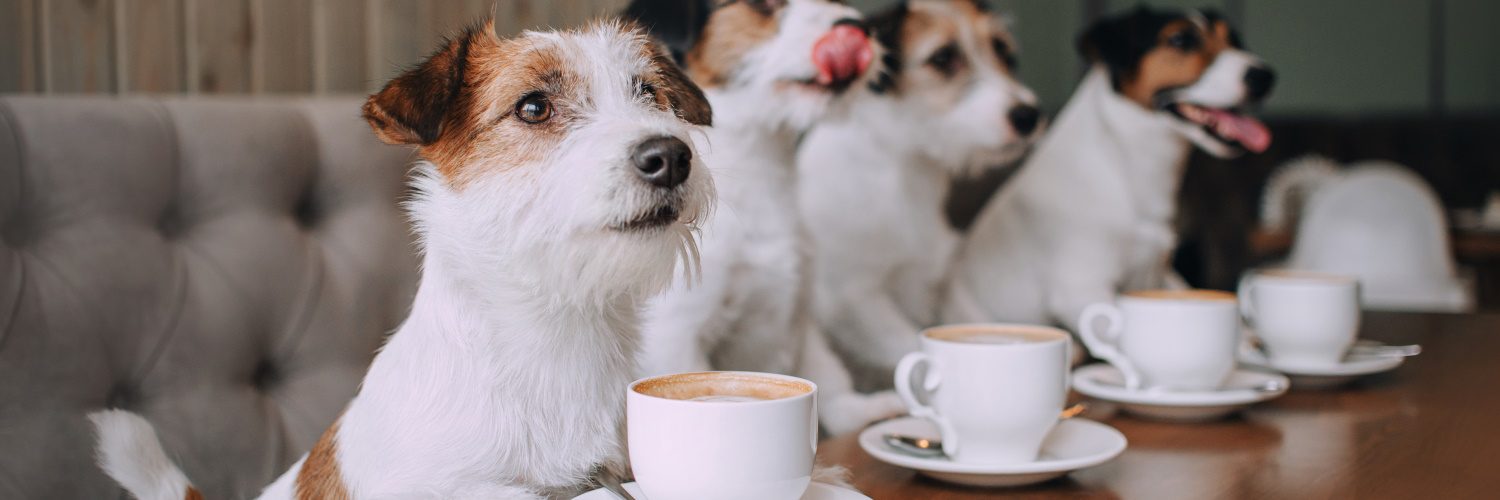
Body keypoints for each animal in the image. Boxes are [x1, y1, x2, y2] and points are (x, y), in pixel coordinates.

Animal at [942, 4, 1272, 334]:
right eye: (1181, 39)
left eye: (1233, 40)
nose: (1265, 76)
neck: (1126, 163)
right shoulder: (1081, 291)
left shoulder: (1161, 274)